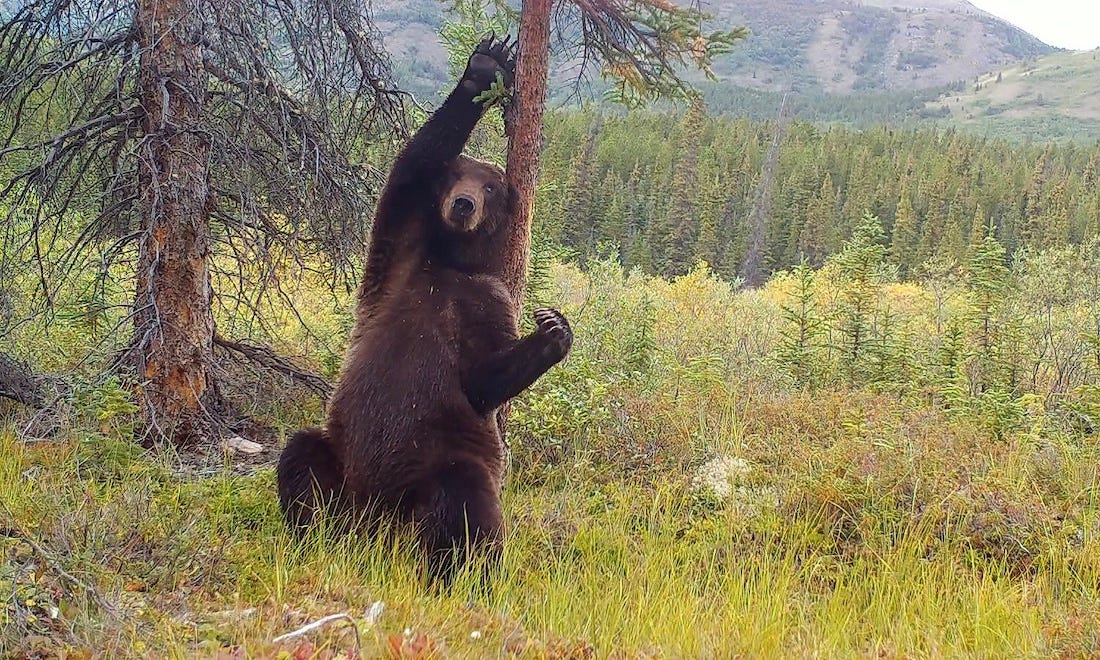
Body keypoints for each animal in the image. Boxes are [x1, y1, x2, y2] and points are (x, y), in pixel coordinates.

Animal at [276, 34, 573, 581]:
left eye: (491, 187)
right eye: (457, 176)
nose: (464, 204)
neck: (452, 259)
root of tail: (381, 518)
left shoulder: (487, 299)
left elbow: (483, 375)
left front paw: (553, 329)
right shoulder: (405, 247)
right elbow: (411, 164)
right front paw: (486, 65)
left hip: (443, 455)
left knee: (465, 503)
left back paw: (463, 573)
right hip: (343, 452)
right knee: (302, 456)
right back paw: (313, 536)